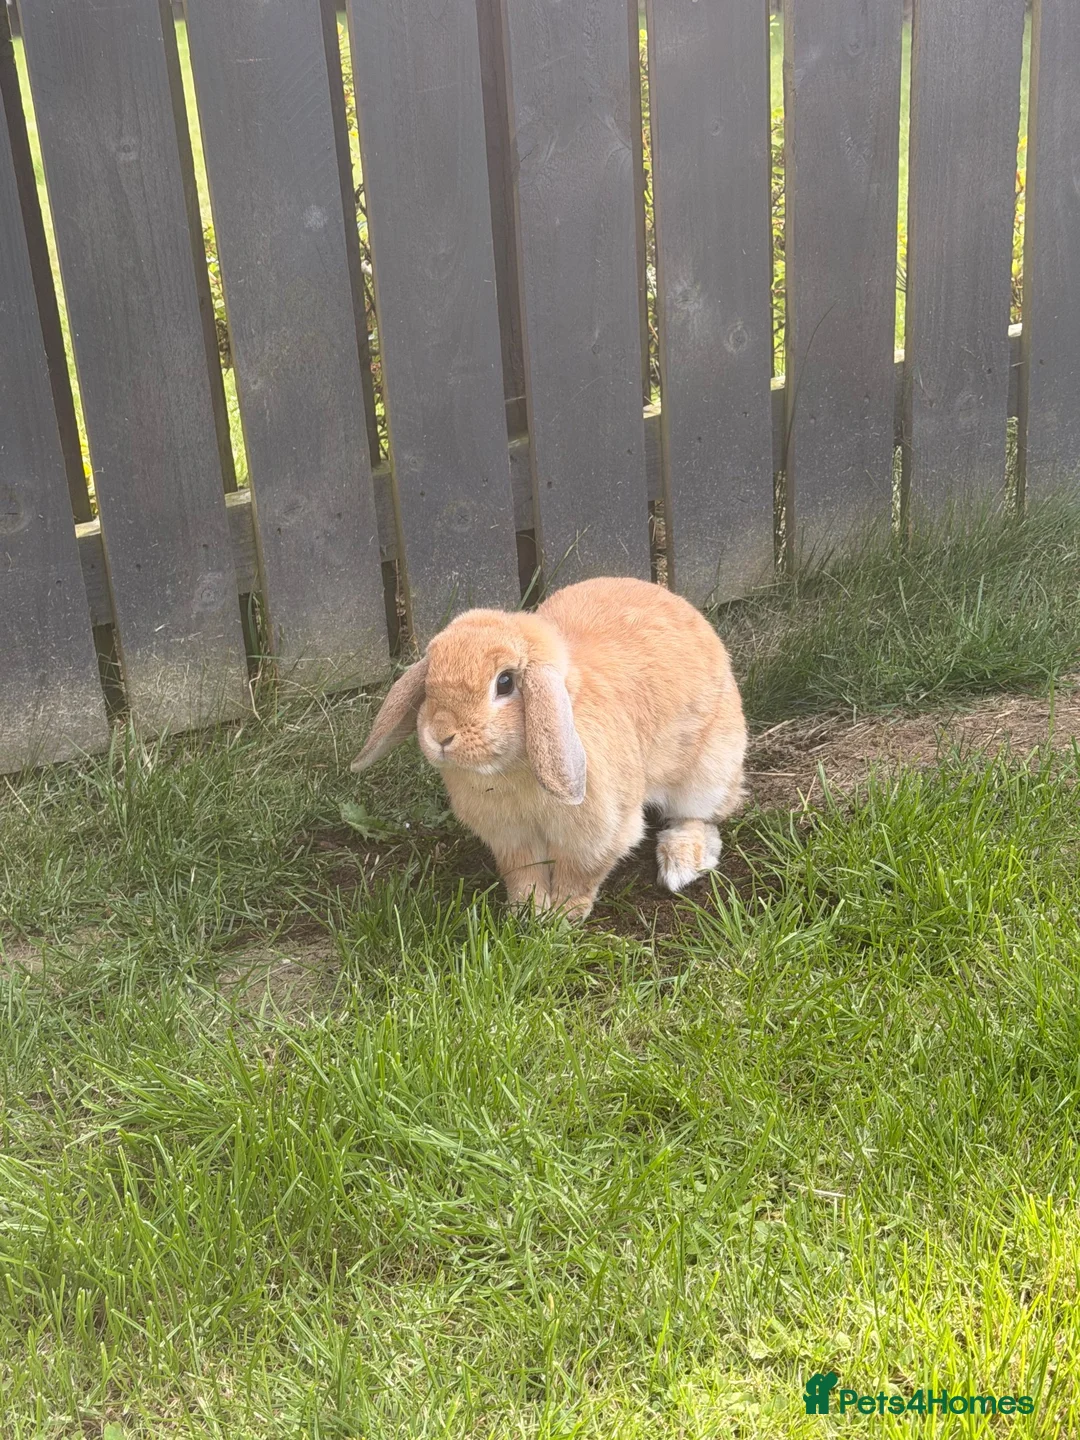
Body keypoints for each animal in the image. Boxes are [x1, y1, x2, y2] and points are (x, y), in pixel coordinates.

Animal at [350, 576, 747, 920]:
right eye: (430, 680)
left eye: (505, 683)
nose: (441, 735)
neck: (515, 768)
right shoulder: (512, 838)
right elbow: (524, 874)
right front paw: (526, 912)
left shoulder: (598, 835)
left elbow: (580, 876)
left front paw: (564, 917)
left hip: (708, 773)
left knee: (698, 818)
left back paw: (681, 863)